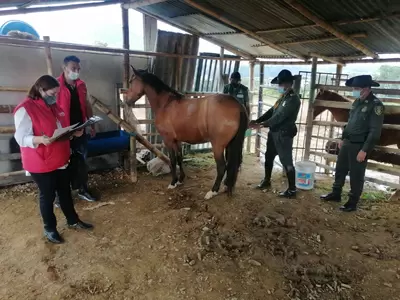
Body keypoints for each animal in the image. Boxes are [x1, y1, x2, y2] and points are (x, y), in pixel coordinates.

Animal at [126, 67, 248, 200]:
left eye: (131, 81)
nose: (127, 101)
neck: (166, 104)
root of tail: (237, 106)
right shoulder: (177, 140)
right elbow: (180, 158)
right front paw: (180, 180)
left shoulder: (168, 140)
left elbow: (172, 160)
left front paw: (173, 182)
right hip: (230, 144)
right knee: (232, 166)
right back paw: (226, 186)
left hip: (218, 146)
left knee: (222, 167)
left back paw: (212, 191)